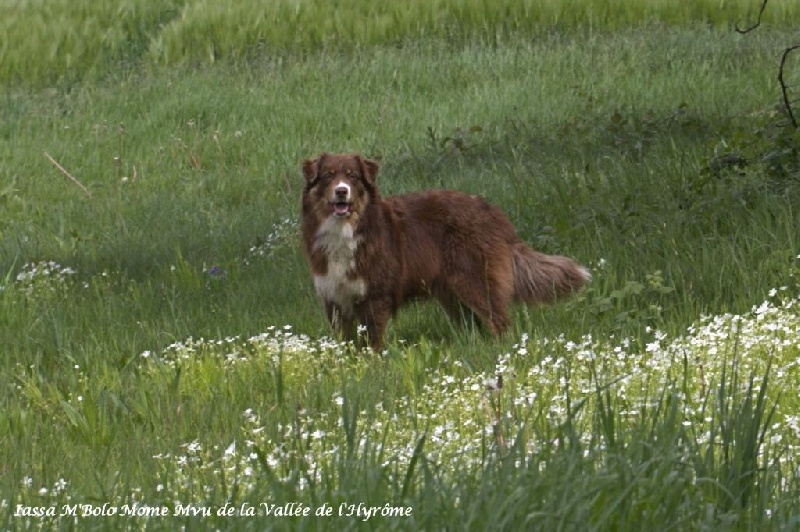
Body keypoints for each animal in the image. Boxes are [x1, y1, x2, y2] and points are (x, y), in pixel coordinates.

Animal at [300, 153, 588, 354]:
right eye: (328, 176)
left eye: (353, 177)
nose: (341, 191)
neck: (345, 230)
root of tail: (494, 212)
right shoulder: (335, 298)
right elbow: (343, 343)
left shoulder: (376, 296)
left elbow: (373, 342)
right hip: (453, 295)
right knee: (475, 326)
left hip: (476, 283)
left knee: (500, 323)